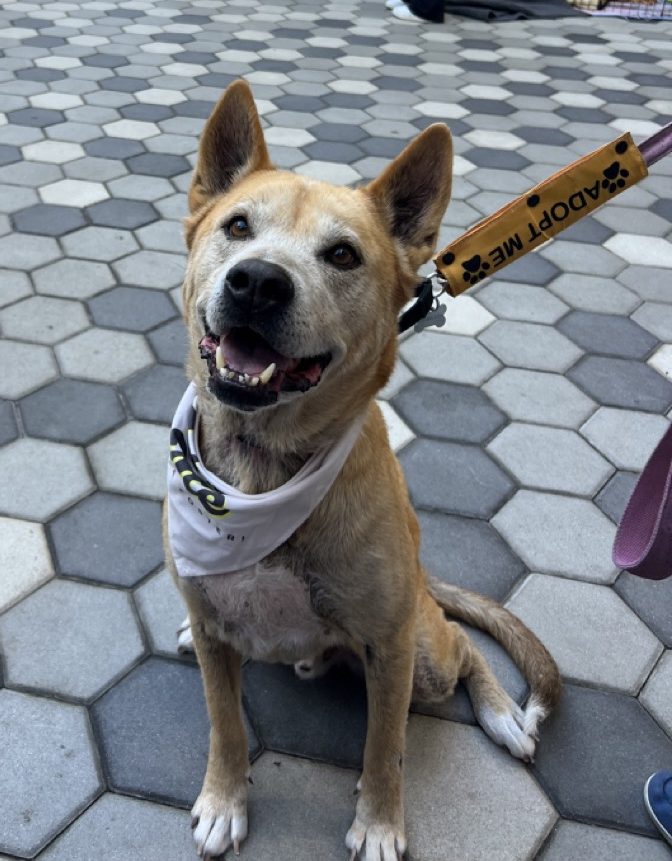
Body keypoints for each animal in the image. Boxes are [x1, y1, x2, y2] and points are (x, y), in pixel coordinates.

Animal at [164, 80, 560, 860]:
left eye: (343, 254)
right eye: (237, 226)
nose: (257, 283)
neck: (260, 474)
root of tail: (425, 577)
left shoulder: (389, 647)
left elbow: (386, 747)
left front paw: (378, 823)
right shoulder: (220, 636)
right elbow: (226, 725)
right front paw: (224, 799)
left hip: (424, 650)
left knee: (465, 648)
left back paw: (503, 714)